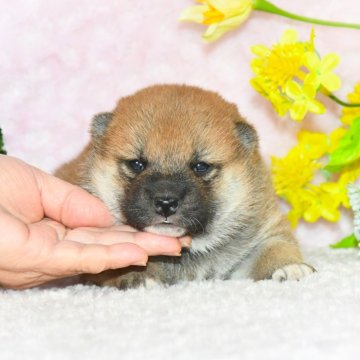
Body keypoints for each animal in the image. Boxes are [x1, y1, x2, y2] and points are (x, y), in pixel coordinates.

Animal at [56, 85, 316, 290]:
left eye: (200, 166)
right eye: (137, 164)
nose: (165, 202)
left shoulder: (265, 231)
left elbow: (275, 248)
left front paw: (290, 268)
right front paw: (138, 277)